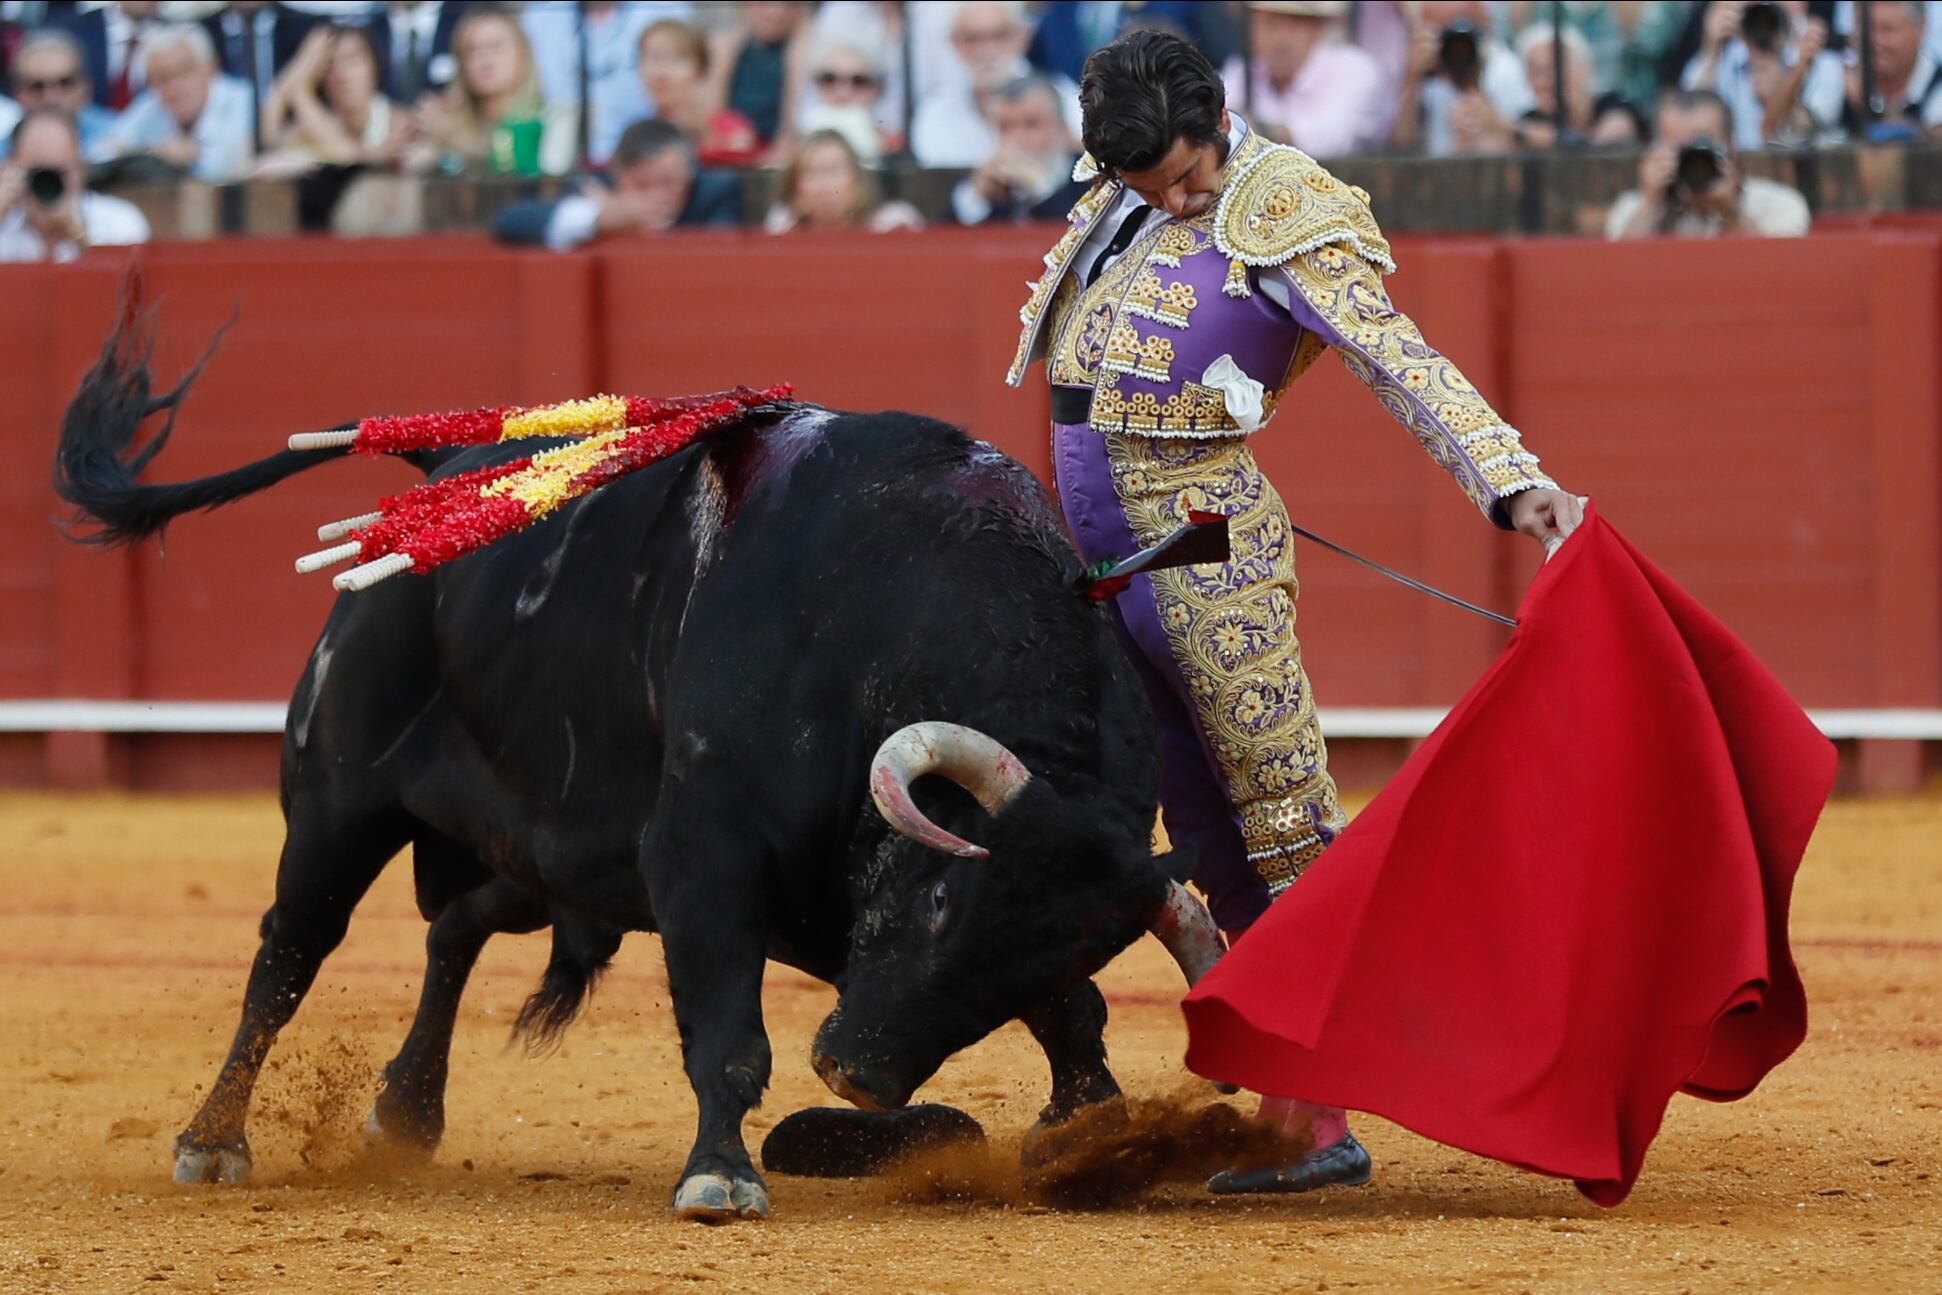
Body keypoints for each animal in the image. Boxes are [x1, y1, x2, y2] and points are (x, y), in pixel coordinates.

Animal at [53, 318, 1219, 1219]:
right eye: (939, 906)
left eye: (1045, 952)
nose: (857, 1071)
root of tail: (441, 482)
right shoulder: (705, 853)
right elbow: (728, 1029)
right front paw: (720, 1178)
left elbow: (1075, 1015)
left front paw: (1092, 1131)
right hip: (337, 802)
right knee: (286, 956)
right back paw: (213, 1139)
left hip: (540, 852)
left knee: (454, 926)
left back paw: (405, 1109)